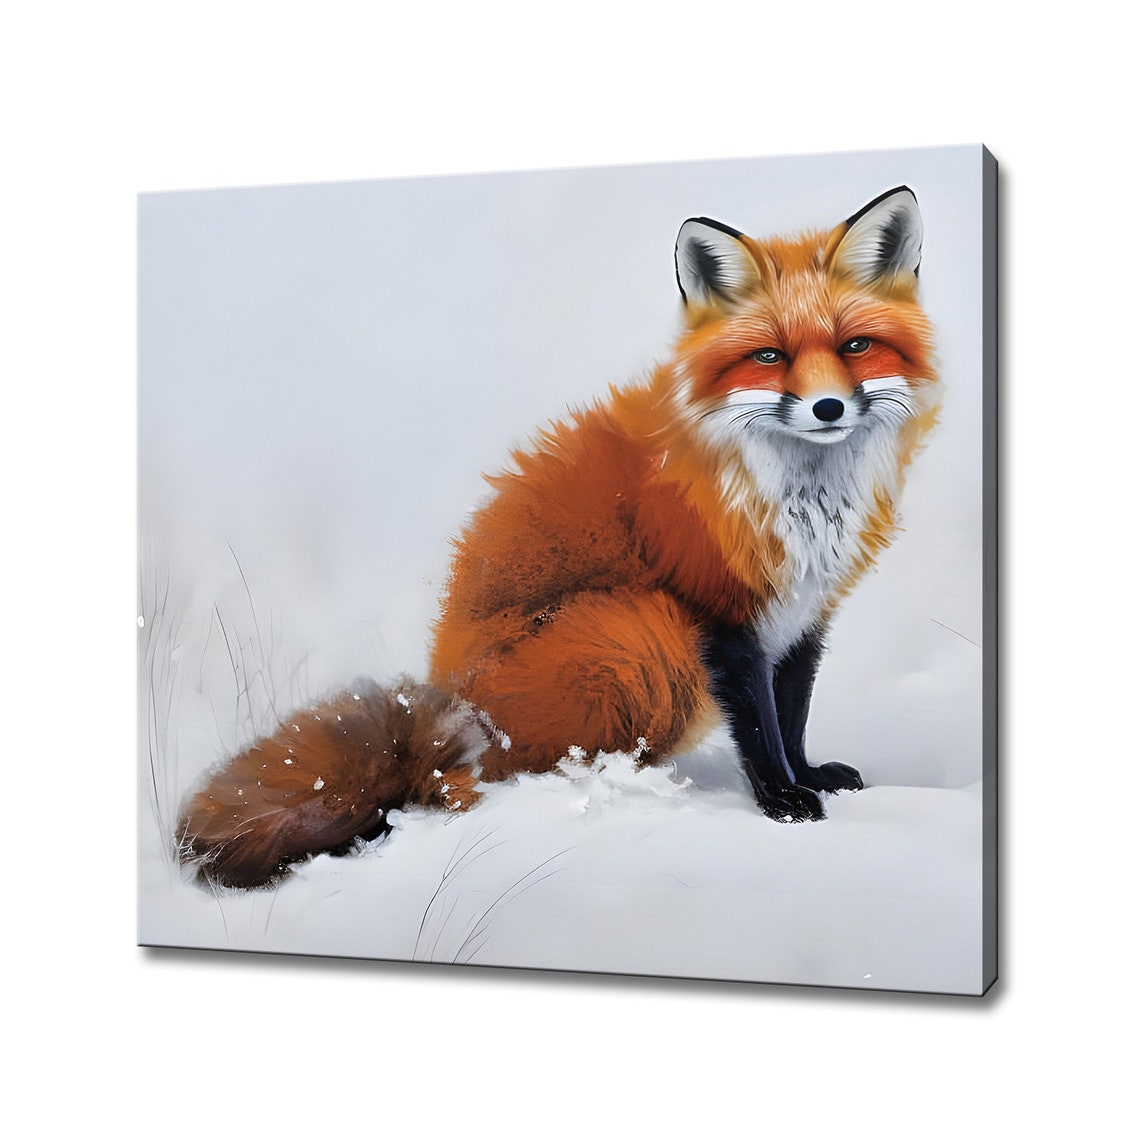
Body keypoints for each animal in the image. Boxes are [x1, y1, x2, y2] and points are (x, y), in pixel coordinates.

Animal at [177, 186, 941, 889]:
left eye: (855, 347)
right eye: (769, 356)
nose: (828, 407)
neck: (794, 500)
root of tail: (441, 710)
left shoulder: (806, 614)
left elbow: (793, 713)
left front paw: (806, 773)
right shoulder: (717, 612)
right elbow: (759, 727)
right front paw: (781, 798)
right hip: (643, 630)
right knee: (469, 786)